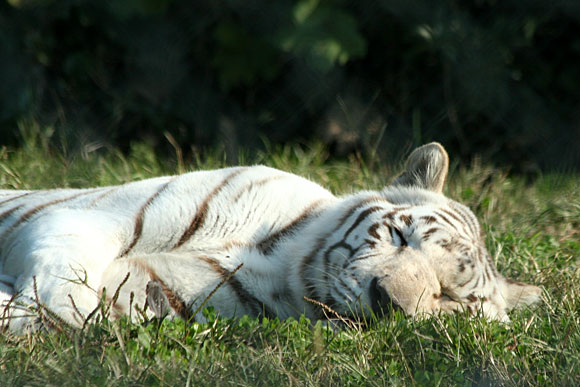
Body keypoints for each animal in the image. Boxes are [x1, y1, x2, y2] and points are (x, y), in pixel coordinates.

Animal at [1, 144, 540, 332]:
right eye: (399, 236)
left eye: (448, 297)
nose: (385, 299)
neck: (280, 259)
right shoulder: (94, 217)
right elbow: (67, 274)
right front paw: (54, 316)